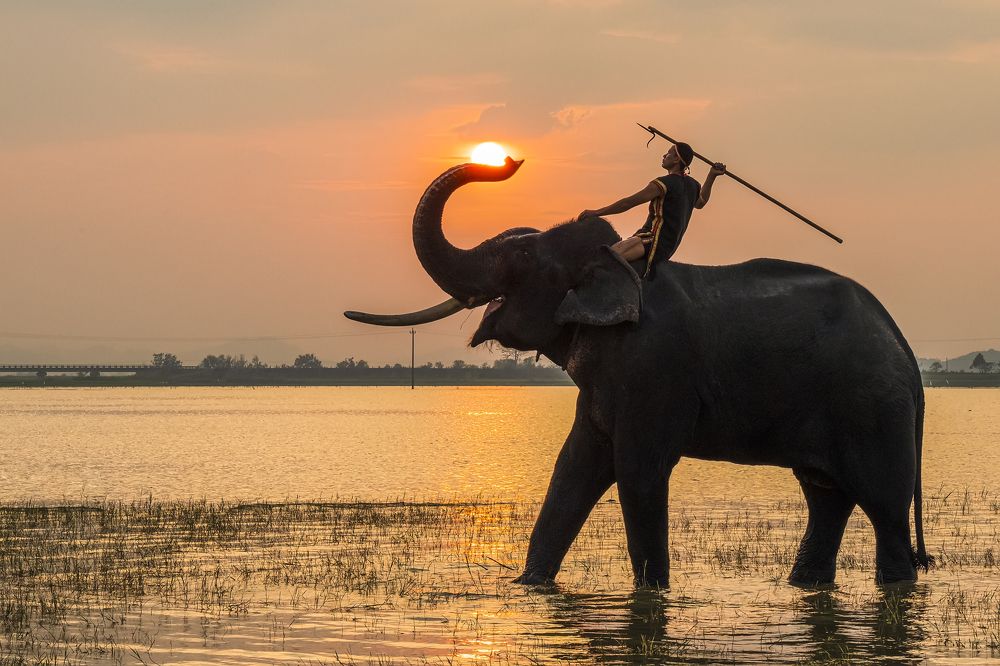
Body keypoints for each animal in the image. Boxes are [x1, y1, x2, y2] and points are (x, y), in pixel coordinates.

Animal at [345, 157, 931, 587]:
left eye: (522, 259)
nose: (510, 160)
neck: (619, 263)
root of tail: (905, 348)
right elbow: (573, 469)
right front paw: (530, 586)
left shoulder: (653, 370)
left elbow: (637, 472)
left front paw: (652, 591)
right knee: (826, 497)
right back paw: (804, 584)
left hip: (874, 409)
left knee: (883, 506)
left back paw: (894, 581)